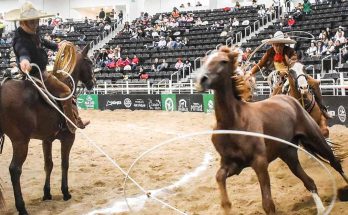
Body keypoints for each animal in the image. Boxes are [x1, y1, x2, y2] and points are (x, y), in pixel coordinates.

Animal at [0, 44, 95, 215]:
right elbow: (65, 163)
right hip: (20, 142)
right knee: (15, 170)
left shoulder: (47, 139)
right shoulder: (68, 138)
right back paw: (22, 208)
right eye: (89, 62)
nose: (93, 82)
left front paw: (47, 193)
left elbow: (48, 164)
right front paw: (65, 192)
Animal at [196, 46, 348, 214]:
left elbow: (268, 204)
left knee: (335, 163)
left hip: (315, 138)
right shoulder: (232, 164)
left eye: (223, 61)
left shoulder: (260, 163)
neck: (234, 121)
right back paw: (321, 209)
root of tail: (292, 100)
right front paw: (226, 205)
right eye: (205, 60)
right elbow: (219, 177)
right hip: (288, 154)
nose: (202, 79)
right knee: (309, 181)